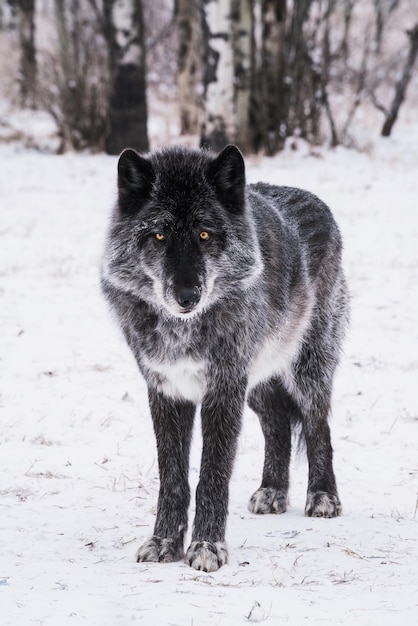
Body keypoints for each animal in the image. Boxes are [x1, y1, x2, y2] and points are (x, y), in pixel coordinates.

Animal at [102, 145, 350, 572]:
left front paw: (207, 547)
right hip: (257, 382)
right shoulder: (167, 390)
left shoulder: (222, 391)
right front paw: (164, 542)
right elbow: (174, 479)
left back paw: (322, 497)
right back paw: (272, 491)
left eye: (204, 234)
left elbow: (212, 475)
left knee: (318, 426)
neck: (184, 331)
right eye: (159, 235)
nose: (188, 296)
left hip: (306, 371)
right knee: (277, 425)